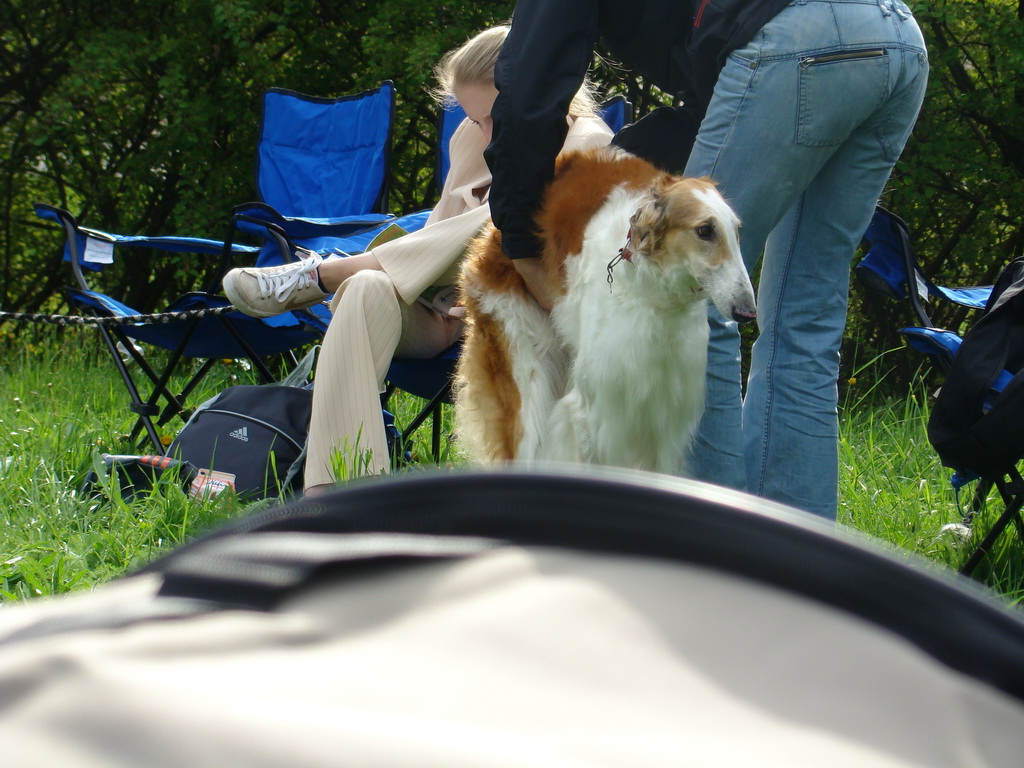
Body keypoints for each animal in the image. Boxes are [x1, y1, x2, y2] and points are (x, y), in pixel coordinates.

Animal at [456, 144, 753, 475]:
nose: (747, 312)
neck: (655, 298)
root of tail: (490, 236)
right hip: (525, 376)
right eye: (704, 230)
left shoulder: (666, 420)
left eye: (736, 232)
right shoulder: (593, 412)